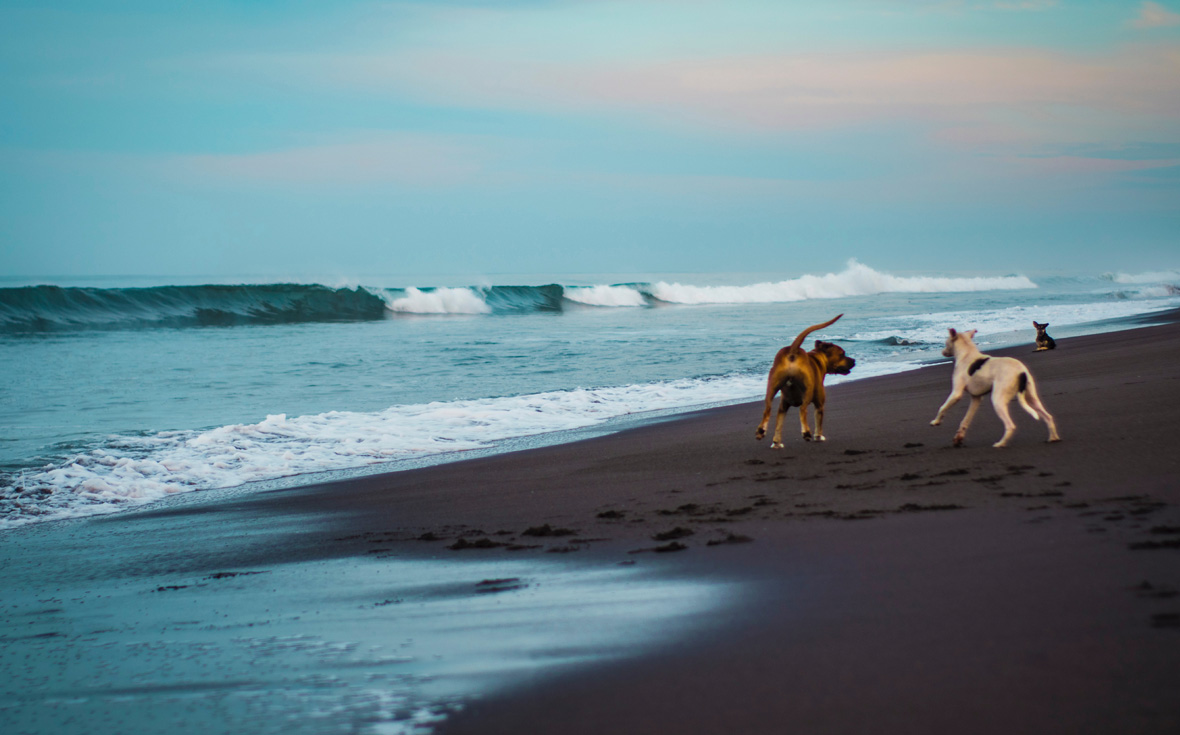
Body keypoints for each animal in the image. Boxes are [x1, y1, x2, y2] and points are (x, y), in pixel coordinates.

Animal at [755, 311, 859, 445]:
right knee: (803, 410)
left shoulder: (783, 406)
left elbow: (779, 423)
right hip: (808, 389)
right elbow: (818, 422)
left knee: (767, 409)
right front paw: (818, 436)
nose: (854, 361)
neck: (818, 357)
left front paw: (776, 442)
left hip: (771, 387)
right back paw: (806, 433)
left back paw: (761, 431)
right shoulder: (819, 405)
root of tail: (793, 350)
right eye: (843, 354)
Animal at [929, 330, 1062, 448]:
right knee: (1048, 417)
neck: (967, 354)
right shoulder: (976, 399)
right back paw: (1053, 437)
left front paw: (936, 421)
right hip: (1032, 398)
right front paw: (958, 438)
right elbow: (965, 420)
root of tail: (1021, 372)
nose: (942, 351)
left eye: (946, 342)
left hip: (998, 401)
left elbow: (942, 408)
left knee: (1010, 426)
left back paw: (1000, 444)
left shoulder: (956, 393)